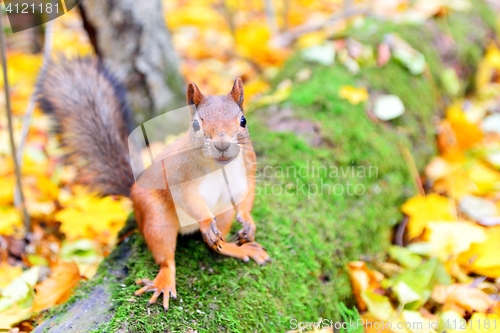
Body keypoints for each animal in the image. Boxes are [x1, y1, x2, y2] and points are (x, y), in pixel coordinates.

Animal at [36, 56, 270, 308]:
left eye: (243, 120)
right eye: (196, 125)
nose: (222, 145)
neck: (220, 167)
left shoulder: (246, 173)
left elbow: (247, 196)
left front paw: (248, 222)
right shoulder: (180, 175)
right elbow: (189, 199)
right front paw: (207, 222)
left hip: (224, 213)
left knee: (216, 246)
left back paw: (237, 248)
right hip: (156, 219)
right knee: (166, 258)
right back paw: (164, 282)